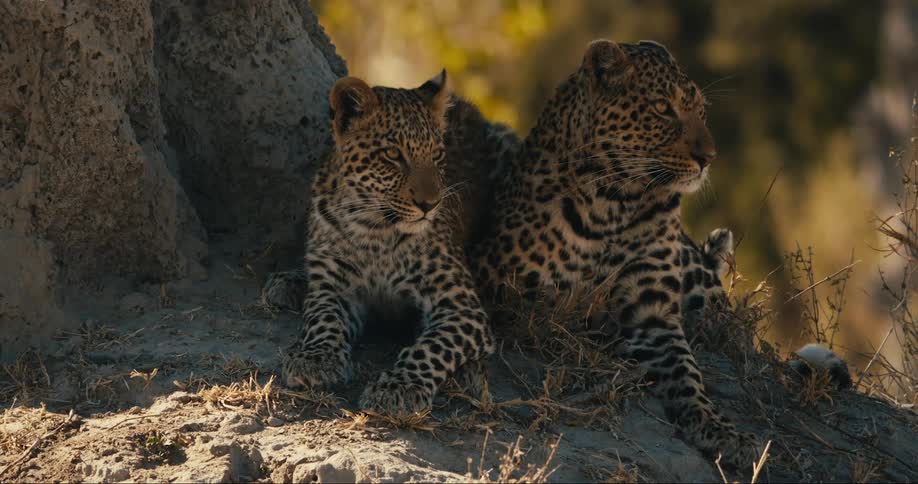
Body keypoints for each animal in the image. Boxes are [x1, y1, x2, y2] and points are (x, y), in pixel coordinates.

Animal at [261, 71, 495, 415]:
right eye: (393, 155)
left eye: (437, 156)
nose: (430, 204)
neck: (377, 231)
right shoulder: (334, 288)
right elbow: (323, 317)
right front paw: (315, 359)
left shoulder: (462, 307)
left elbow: (431, 347)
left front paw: (399, 388)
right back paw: (289, 281)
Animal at [468, 39, 759, 466]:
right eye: (662, 108)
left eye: (701, 111)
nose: (709, 157)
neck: (616, 200)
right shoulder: (506, 292)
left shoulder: (653, 313)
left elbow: (687, 372)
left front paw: (720, 429)